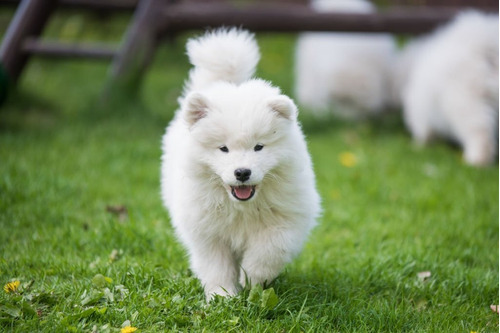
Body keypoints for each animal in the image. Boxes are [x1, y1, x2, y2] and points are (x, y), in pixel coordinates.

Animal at [162, 27, 322, 298]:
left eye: (259, 147)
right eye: (223, 148)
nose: (242, 172)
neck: (242, 208)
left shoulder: (286, 219)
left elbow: (269, 251)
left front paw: (252, 281)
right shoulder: (207, 231)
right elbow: (216, 265)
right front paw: (222, 296)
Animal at [396, 11, 498, 165]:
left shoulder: (421, 114)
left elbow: (424, 131)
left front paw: (419, 146)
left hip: (466, 105)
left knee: (479, 133)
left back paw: (475, 160)